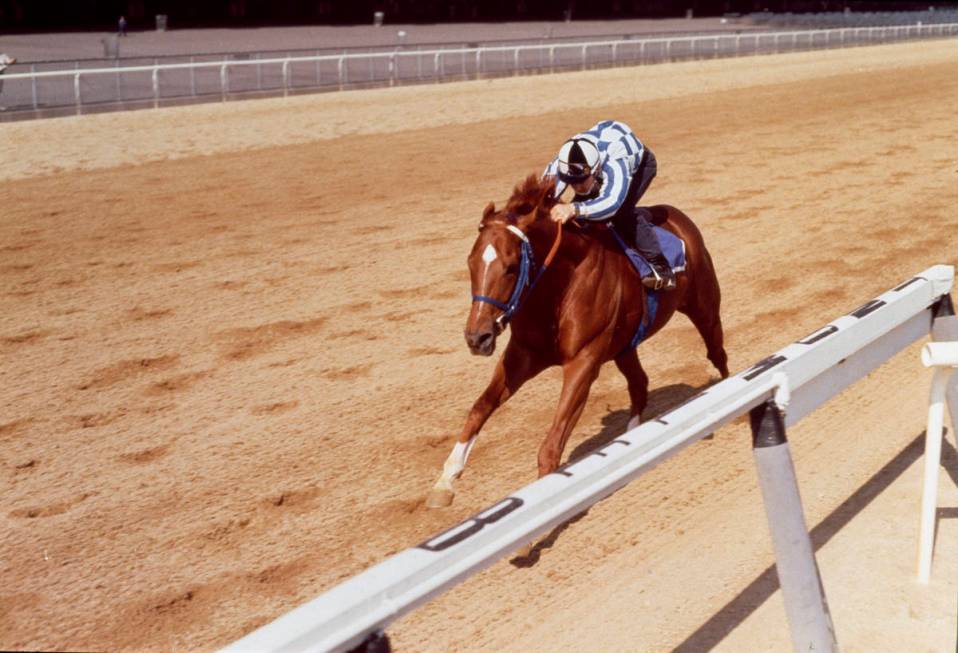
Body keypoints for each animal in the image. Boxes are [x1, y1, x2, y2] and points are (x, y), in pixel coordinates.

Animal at [426, 174, 728, 510]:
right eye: (470, 263)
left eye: (511, 267)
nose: (477, 337)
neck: (557, 289)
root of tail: (678, 217)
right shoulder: (523, 354)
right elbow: (480, 408)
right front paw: (445, 482)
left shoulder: (583, 362)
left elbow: (552, 443)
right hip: (625, 345)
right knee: (639, 383)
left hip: (703, 307)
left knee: (717, 353)